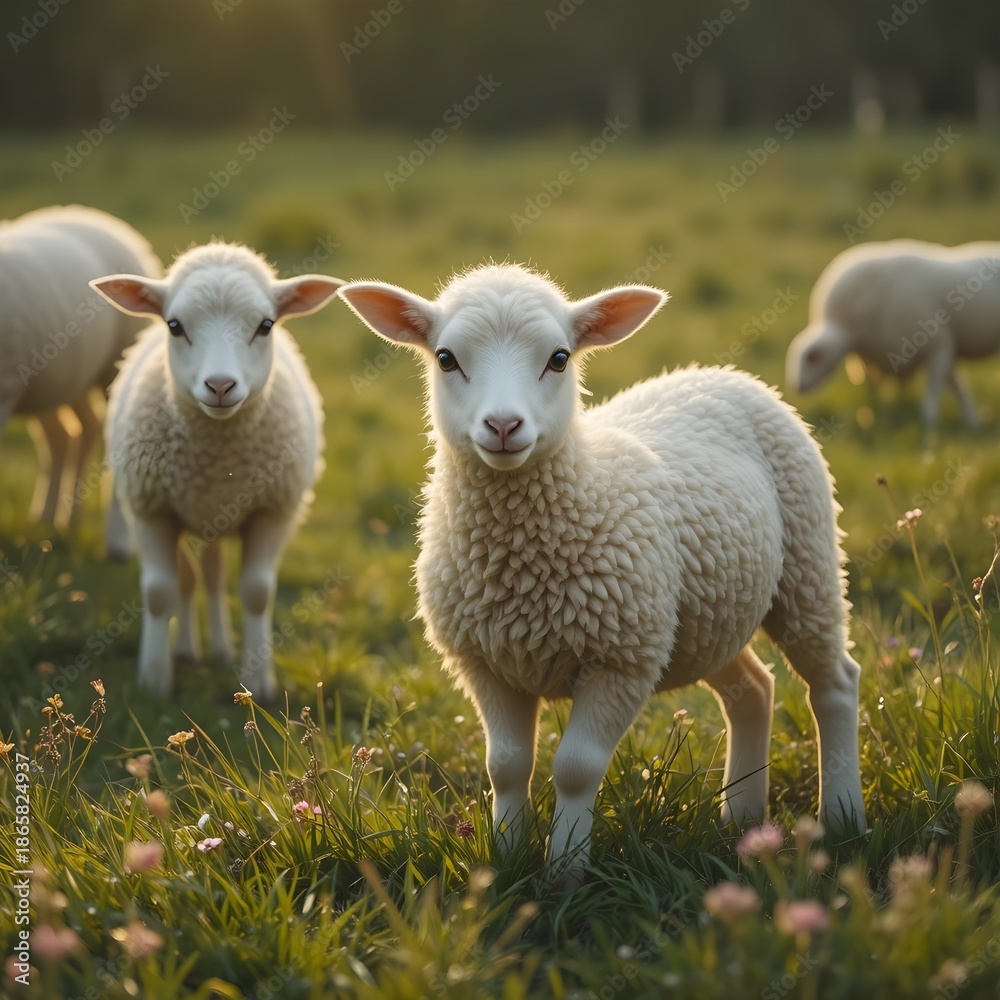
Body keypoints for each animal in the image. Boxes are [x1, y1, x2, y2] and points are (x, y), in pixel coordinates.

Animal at [0, 205, 163, 554]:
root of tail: (95, 215)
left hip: (113, 365)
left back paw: (113, 542)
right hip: (59, 379)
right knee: (72, 433)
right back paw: (53, 518)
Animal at [91, 242, 343, 699]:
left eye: (265, 325)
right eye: (174, 326)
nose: (221, 386)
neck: (217, 463)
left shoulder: (273, 512)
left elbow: (256, 593)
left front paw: (258, 682)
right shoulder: (150, 511)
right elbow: (160, 593)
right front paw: (154, 680)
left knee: (210, 575)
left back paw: (222, 648)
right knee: (191, 580)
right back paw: (189, 649)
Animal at [339, 263, 866, 880]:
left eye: (559, 358)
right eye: (446, 358)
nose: (503, 425)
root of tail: (724, 375)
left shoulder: (621, 658)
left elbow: (575, 769)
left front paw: (565, 871)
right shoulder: (484, 661)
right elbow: (507, 766)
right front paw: (507, 859)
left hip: (807, 568)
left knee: (834, 684)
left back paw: (843, 816)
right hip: (706, 617)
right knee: (753, 690)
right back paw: (741, 819)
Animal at [786, 240, 1000, 429]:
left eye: (813, 358)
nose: (797, 387)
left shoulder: (939, 345)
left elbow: (934, 398)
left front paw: (930, 430)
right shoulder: (872, 356)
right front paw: (974, 424)